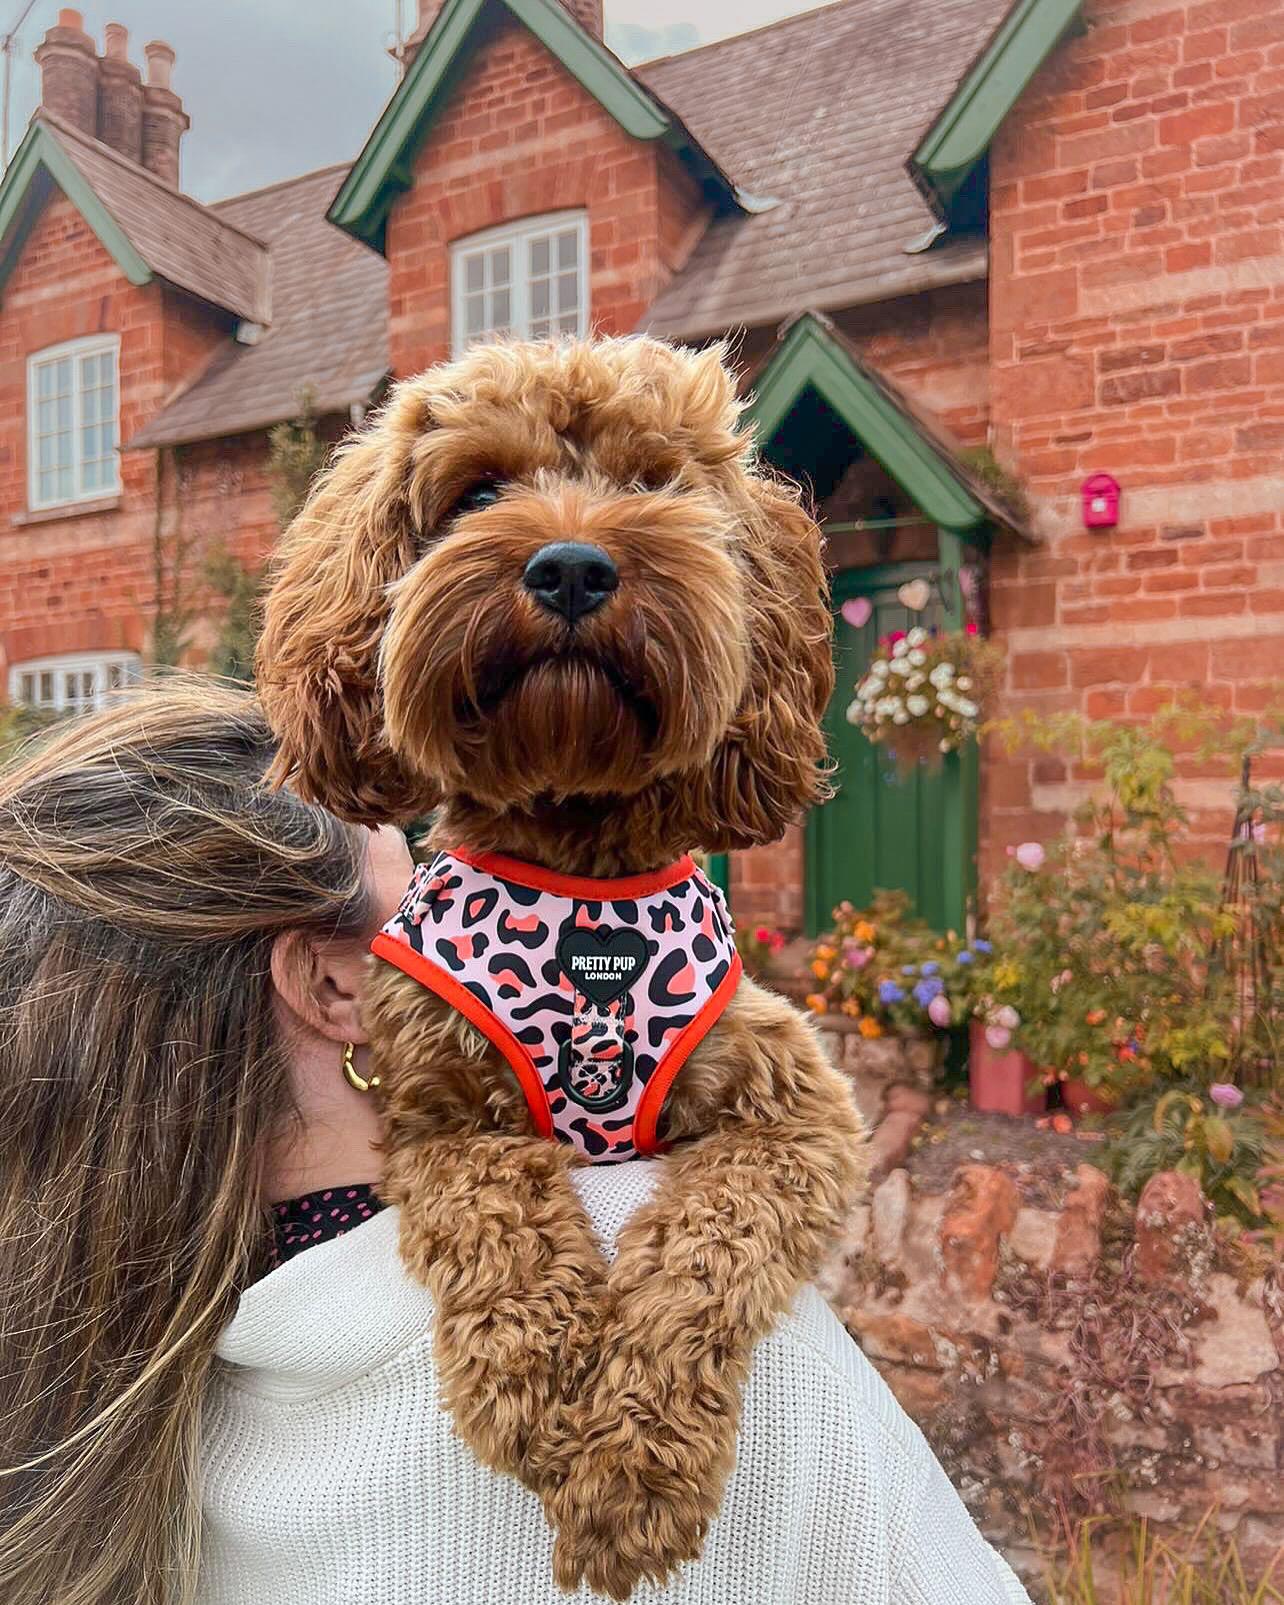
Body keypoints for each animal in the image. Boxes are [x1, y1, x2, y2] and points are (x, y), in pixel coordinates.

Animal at [256, 335, 866, 1592]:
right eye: (478, 490)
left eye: (652, 482)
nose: (574, 567)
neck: (582, 873)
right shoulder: (438, 1118)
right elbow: (500, 1217)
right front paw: (537, 1388)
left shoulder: (797, 1113)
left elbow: (705, 1250)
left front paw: (632, 1468)